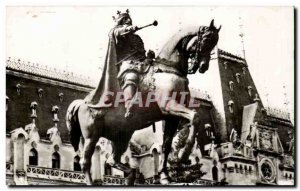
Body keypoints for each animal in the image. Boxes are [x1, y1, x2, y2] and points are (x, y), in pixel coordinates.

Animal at [65, 19, 220, 185]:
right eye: (206, 40)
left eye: (214, 43)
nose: (203, 66)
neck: (167, 69)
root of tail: (82, 102)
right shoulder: (168, 106)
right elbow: (195, 116)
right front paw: (183, 154)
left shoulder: (171, 117)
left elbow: (166, 146)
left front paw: (165, 175)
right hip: (91, 136)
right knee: (85, 161)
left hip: (122, 135)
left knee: (112, 160)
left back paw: (131, 175)